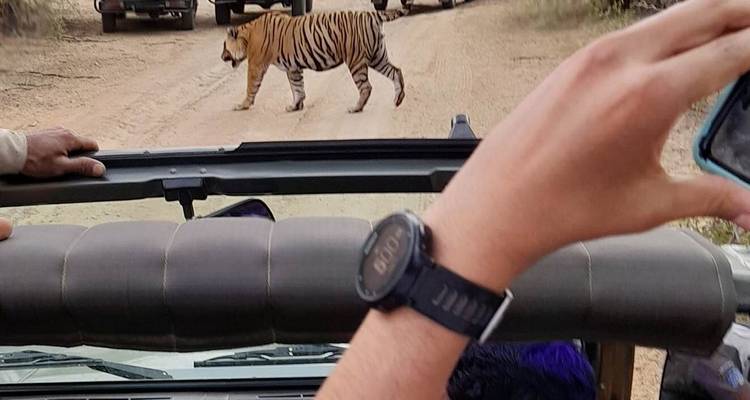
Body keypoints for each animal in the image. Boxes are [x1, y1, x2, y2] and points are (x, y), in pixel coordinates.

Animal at [221, 9, 407, 113]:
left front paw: (242, 105)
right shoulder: (293, 67)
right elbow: (297, 87)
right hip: (377, 56)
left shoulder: (256, 66)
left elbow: (250, 87)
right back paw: (398, 99)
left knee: (366, 87)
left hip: (356, 61)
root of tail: (371, 13)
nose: (221, 57)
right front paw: (295, 106)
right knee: (396, 71)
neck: (247, 36)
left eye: (224, 47)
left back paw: (356, 108)